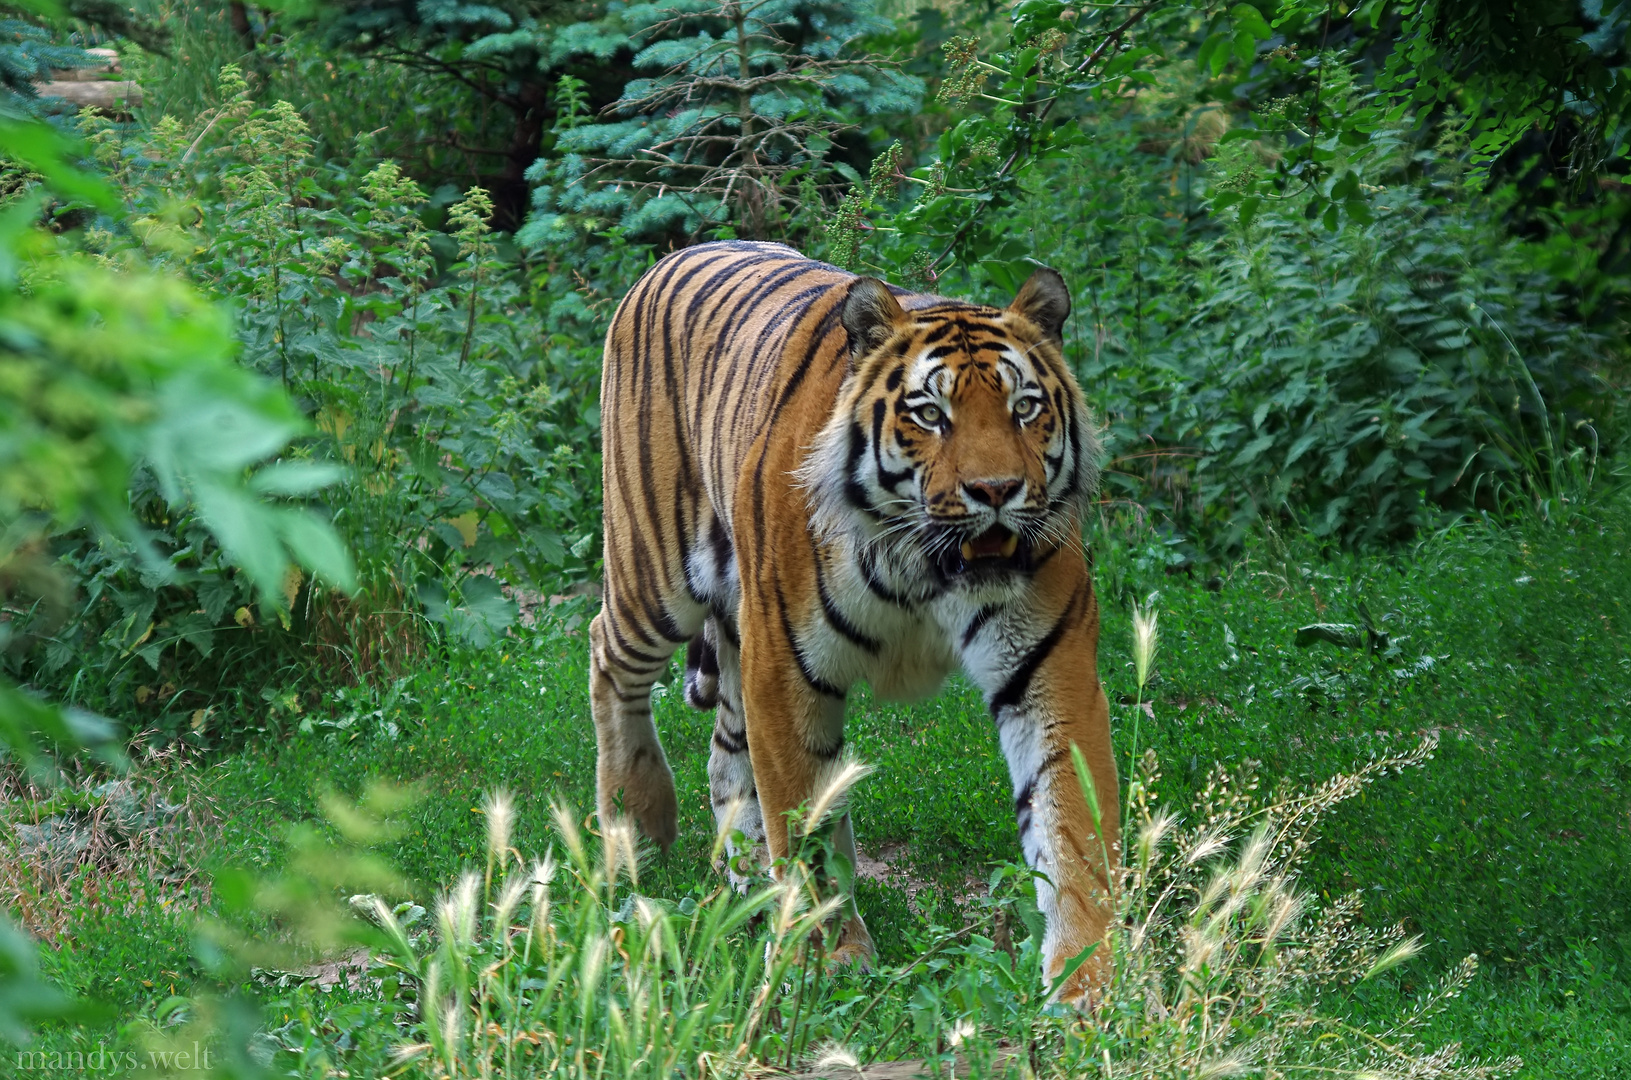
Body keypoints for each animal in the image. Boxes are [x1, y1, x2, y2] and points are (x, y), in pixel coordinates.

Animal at [590, 241, 1122, 1004]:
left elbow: (1072, 827)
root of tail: (680, 253)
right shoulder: (783, 668)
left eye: (1025, 408)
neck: (925, 568)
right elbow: (803, 819)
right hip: (655, 569)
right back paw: (634, 823)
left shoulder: (1049, 670)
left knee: (724, 748)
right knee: (609, 655)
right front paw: (826, 957)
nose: (995, 491)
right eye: (930, 414)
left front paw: (1088, 983)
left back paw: (743, 874)